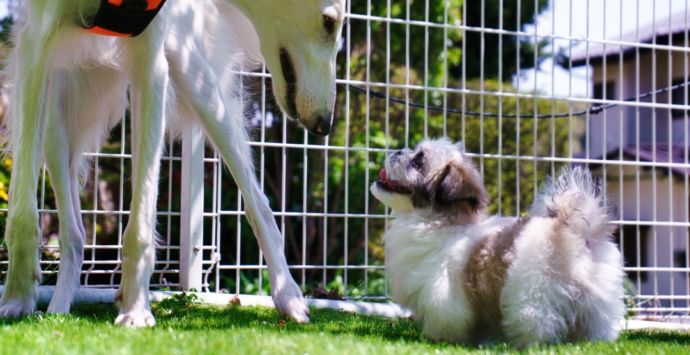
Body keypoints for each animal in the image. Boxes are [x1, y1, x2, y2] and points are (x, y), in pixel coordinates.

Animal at [0, 0, 344, 328]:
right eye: (330, 23)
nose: (325, 124)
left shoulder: (152, 63)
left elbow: (140, 223)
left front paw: (136, 310)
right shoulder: (34, 47)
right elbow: (22, 214)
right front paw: (16, 301)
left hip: (195, 78)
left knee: (257, 201)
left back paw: (289, 296)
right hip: (56, 116)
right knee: (74, 235)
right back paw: (58, 309)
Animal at [370, 138, 624, 348]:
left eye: (418, 161)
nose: (398, 150)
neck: (437, 222)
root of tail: (573, 231)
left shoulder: (442, 293)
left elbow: (445, 319)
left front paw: (440, 339)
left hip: (534, 295)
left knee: (538, 323)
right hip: (598, 301)